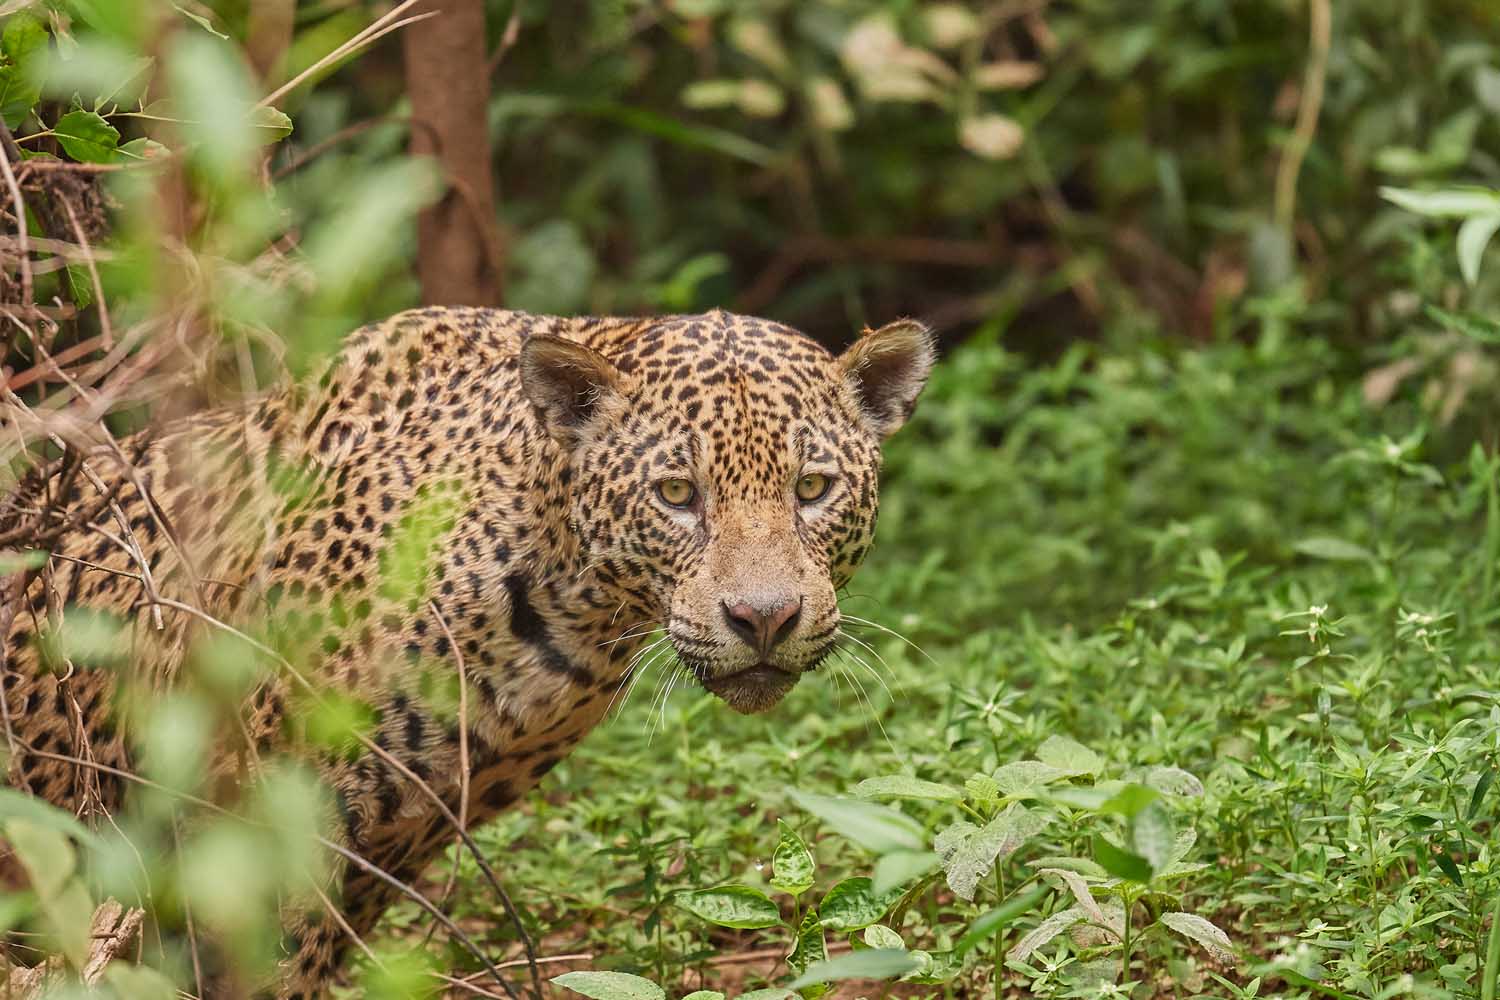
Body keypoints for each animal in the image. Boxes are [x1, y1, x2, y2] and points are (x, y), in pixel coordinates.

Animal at [0, 306, 934, 997]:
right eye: (676, 493)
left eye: (813, 488)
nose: (764, 618)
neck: (561, 610)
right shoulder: (264, 809)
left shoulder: (393, 837)